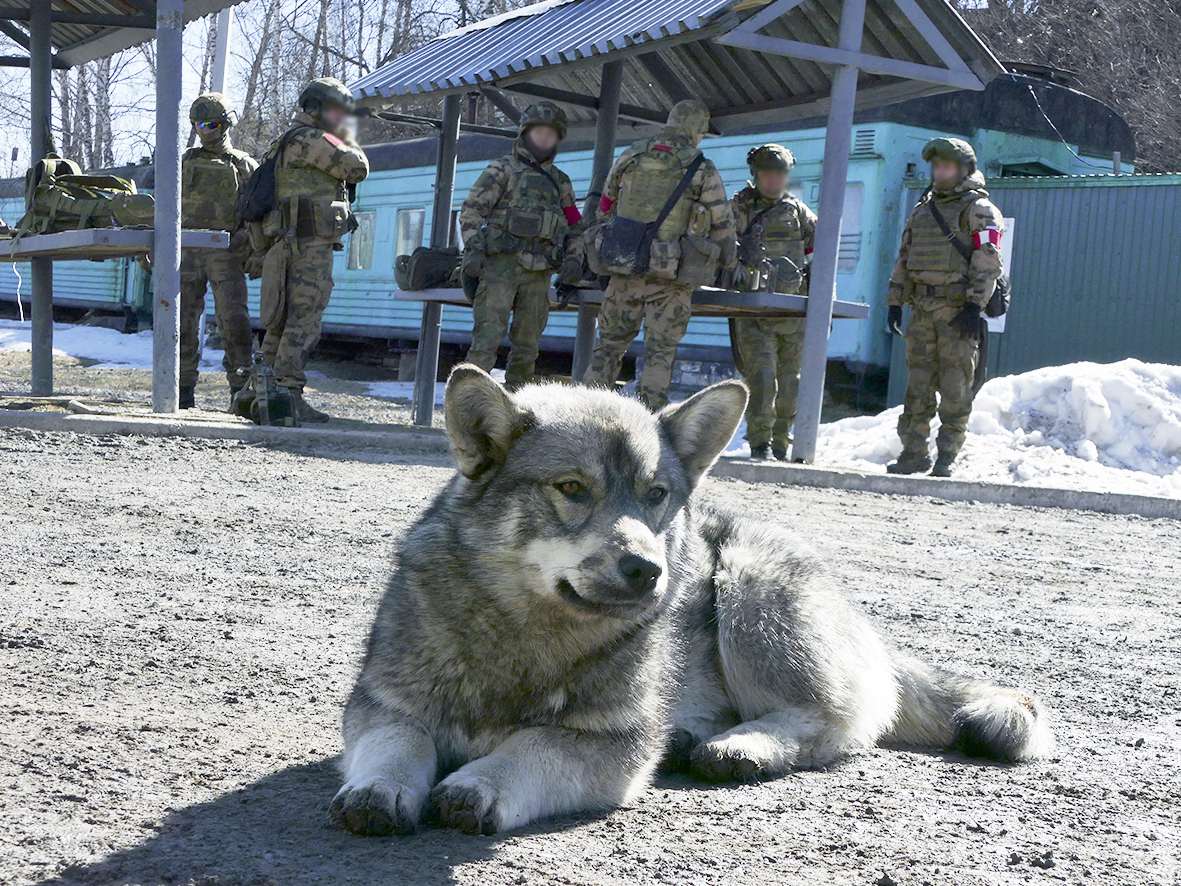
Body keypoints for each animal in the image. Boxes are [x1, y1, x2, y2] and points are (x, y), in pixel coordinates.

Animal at [330, 368, 1053, 841]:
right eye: (572, 489)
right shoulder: (382, 709)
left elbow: (531, 747)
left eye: (655, 495)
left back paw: (740, 746)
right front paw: (379, 787)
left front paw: (480, 782)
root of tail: (870, 632)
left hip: (749, 591)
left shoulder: (613, 746)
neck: (524, 632)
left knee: (837, 723)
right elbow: (397, 744)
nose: (647, 569)